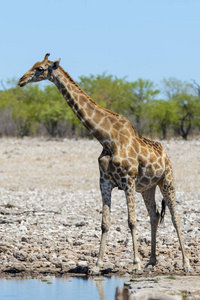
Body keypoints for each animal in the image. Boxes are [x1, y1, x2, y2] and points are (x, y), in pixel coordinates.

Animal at [17, 54, 191, 274]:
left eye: (40, 68)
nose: (21, 80)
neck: (106, 139)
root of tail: (166, 155)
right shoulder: (105, 182)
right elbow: (105, 223)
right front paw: (96, 266)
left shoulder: (128, 181)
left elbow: (131, 221)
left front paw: (135, 264)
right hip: (147, 188)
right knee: (154, 214)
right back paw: (152, 261)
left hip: (167, 180)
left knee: (175, 217)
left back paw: (185, 264)